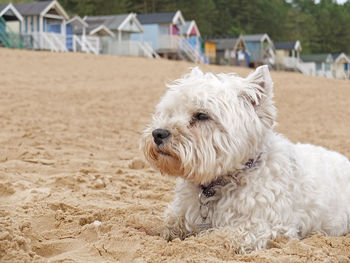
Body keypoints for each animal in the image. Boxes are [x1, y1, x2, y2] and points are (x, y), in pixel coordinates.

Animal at [140, 66, 350, 254]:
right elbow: (168, 223)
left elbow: (214, 237)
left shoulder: (260, 227)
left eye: (202, 115)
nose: (158, 133)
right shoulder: (182, 212)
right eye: (170, 112)